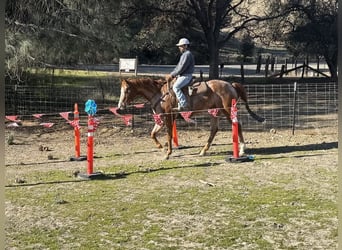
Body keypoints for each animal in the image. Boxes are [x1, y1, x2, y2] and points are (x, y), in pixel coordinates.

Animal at [117, 77, 264, 159]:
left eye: (127, 90)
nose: (119, 107)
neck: (160, 94)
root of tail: (231, 85)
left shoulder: (168, 118)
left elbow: (169, 135)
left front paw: (168, 153)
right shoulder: (162, 119)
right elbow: (153, 134)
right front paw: (162, 148)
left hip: (228, 111)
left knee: (237, 125)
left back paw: (242, 149)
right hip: (214, 112)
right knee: (214, 129)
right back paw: (203, 151)